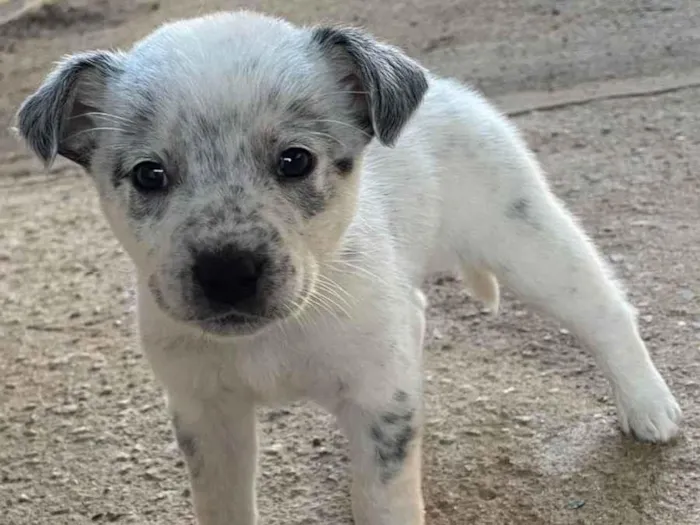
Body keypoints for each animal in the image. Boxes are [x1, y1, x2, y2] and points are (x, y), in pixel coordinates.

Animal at [16, 10, 684, 524]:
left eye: (295, 161)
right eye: (149, 175)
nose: (228, 274)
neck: (278, 333)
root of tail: (448, 89)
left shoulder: (378, 404)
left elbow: (385, 502)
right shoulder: (207, 414)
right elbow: (225, 505)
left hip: (527, 239)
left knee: (605, 311)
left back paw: (649, 406)